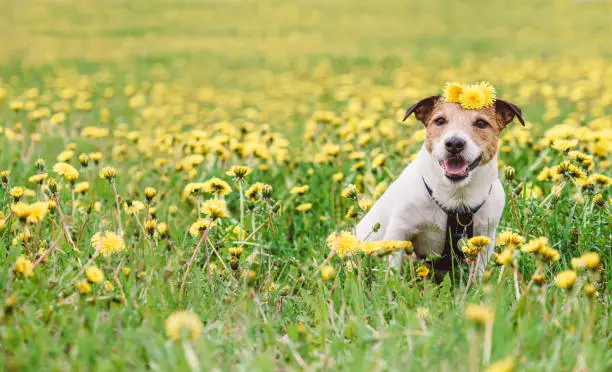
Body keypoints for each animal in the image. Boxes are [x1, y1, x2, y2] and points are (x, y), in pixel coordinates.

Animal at [356, 92, 524, 274]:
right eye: (440, 120)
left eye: (481, 123)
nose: (454, 143)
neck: (457, 197)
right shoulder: (399, 232)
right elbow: (393, 271)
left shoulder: (484, 239)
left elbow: (477, 275)